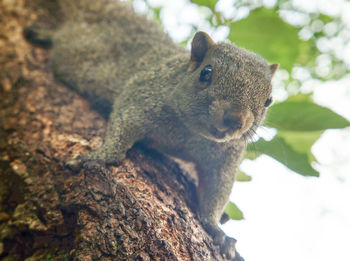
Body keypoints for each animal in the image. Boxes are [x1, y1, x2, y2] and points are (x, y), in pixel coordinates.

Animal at [23, 0, 278, 258]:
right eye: (206, 73)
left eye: (269, 100)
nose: (235, 120)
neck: (191, 134)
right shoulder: (142, 95)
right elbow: (123, 124)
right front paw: (101, 156)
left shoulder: (225, 158)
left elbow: (217, 192)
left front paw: (217, 229)